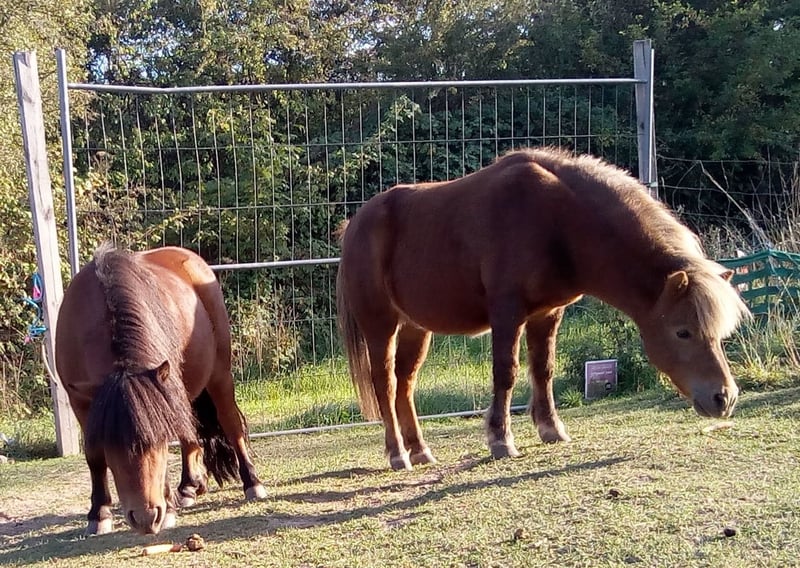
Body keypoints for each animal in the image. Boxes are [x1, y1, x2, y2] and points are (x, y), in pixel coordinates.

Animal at [55, 244, 267, 535]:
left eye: (155, 441)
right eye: (112, 444)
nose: (146, 517)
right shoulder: (80, 401)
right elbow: (94, 456)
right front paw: (99, 514)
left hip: (219, 375)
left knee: (230, 424)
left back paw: (251, 482)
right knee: (190, 432)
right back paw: (189, 487)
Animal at [336, 147, 750, 471]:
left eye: (719, 332)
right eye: (682, 331)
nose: (725, 398)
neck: (556, 220)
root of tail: (355, 224)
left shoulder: (547, 313)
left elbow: (543, 370)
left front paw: (551, 429)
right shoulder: (507, 313)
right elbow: (506, 373)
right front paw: (500, 440)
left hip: (415, 328)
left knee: (405, 384)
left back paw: (420, 450)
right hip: (380, 325)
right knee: (385, 383)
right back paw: (397, 454)